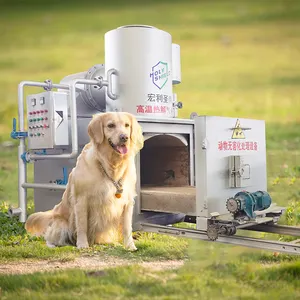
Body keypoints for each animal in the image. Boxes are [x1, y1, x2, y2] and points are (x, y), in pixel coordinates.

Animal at [24, 110, 144, 251]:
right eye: (111, 125)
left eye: (126, 125)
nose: (124, 137)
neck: (110, 167)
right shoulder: (81, 199)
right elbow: (82, 225)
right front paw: (82, 244)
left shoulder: (127, 200)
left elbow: (127, 227)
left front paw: (130, 246)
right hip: (61, 225)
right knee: (50, 237)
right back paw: (54, 245)